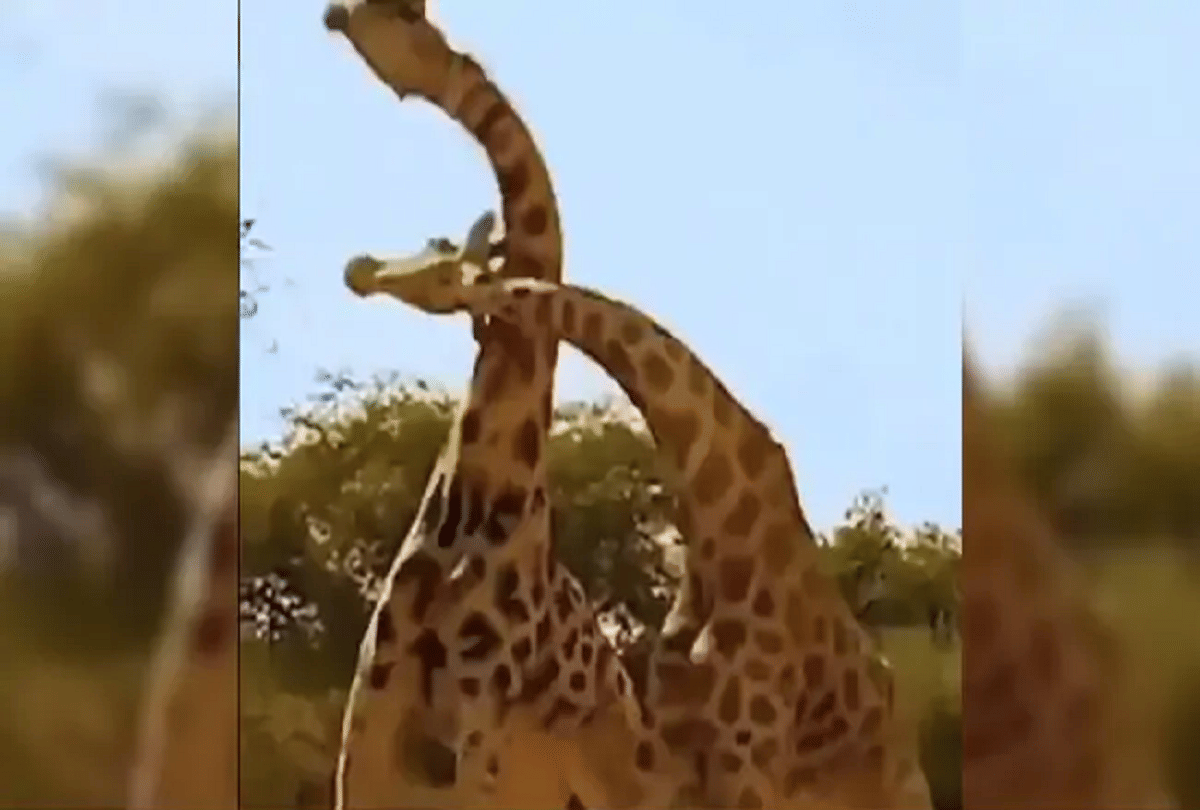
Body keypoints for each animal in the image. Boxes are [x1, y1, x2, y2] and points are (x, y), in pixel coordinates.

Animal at [342, 213, 933, 809]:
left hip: (891, 786)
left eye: (443, 262)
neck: (717, 522)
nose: (361, 269)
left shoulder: (749, 755)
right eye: (428, 244)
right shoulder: (683, 753)